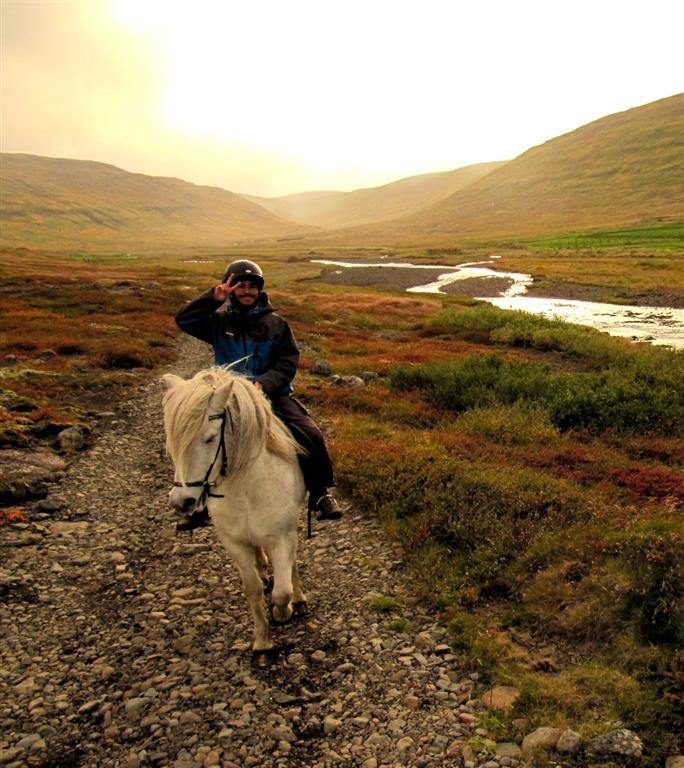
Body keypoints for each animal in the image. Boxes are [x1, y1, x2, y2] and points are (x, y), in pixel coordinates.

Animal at [162, 368, 306, 664]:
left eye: (209, 438)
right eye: (172, 441)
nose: (182, 502)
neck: (245, 489)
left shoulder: (282, 537)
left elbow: (281, 592)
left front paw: (283, 612)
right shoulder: (234, 543)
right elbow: (252, 590)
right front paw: (262, 642)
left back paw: (298, 597)